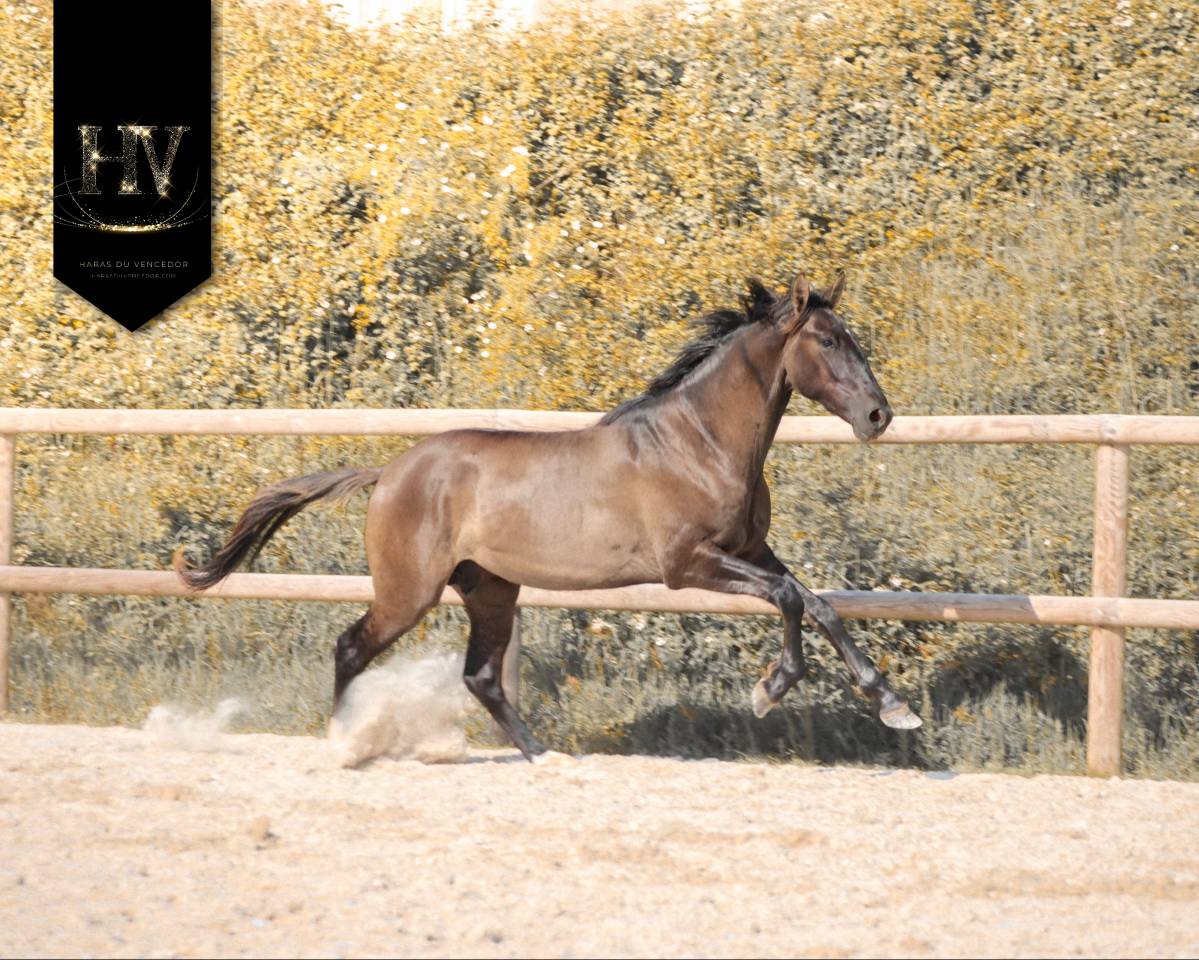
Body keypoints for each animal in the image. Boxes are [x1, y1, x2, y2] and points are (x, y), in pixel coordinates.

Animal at [175, 271, 922, 760]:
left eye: (850, 336)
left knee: (480, 675)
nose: (878, 415)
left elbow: (816, 602)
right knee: (351, 647)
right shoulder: (689, 564)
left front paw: (894, 706)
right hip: (409, 591)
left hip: (490, 588)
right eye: (828, 341)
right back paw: (346, 741)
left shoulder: (751, 551)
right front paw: (770, 690)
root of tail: (388, 473)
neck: (699, 441)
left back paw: (541, 753)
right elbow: (791, 599)